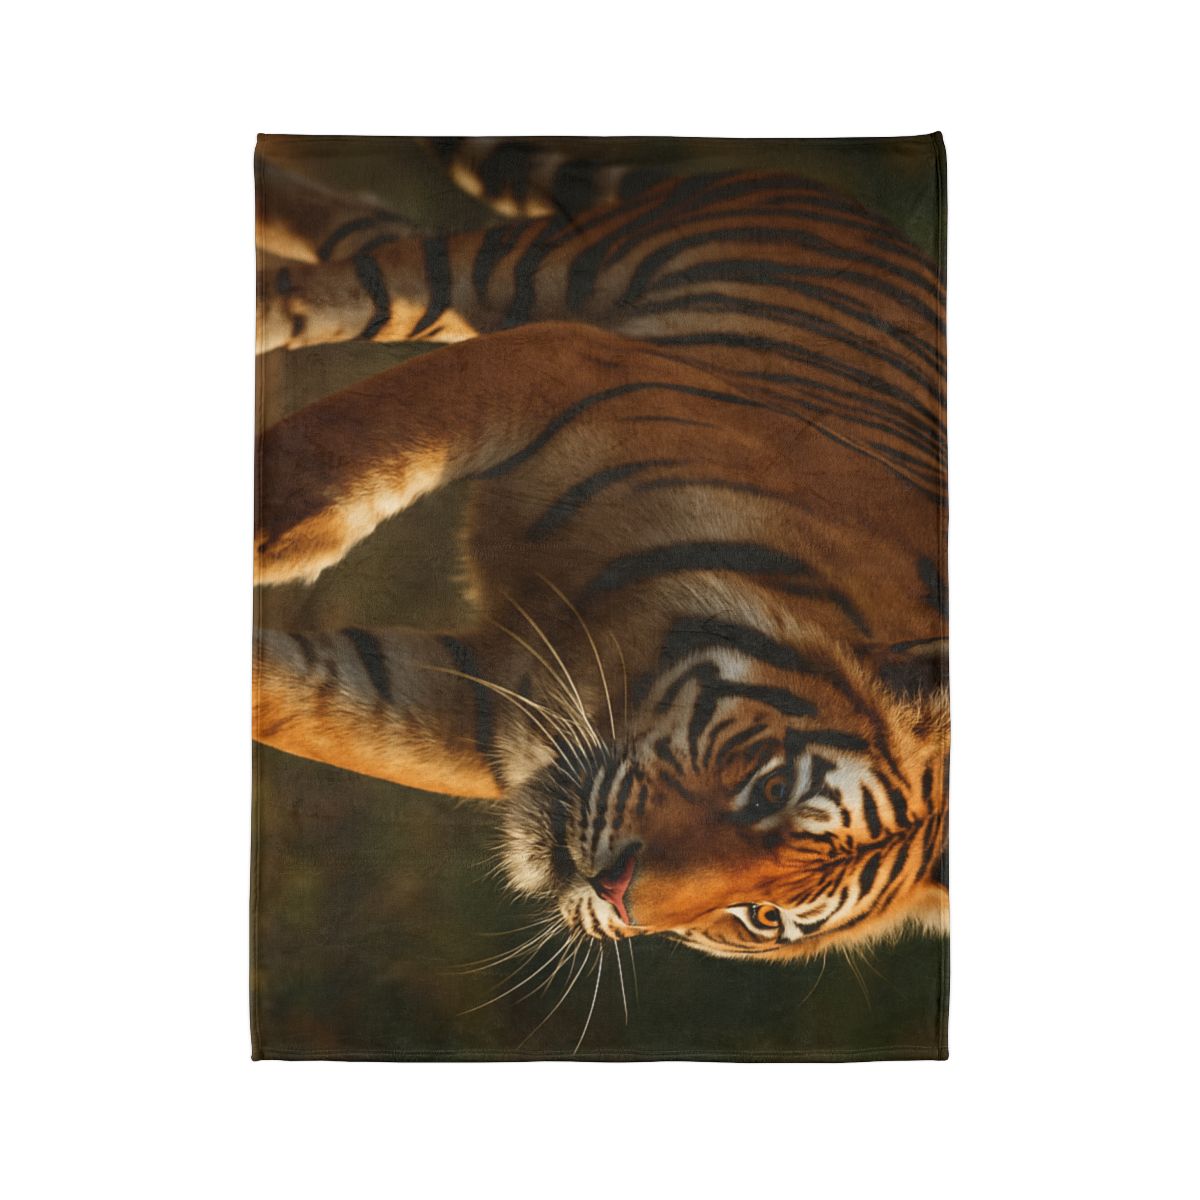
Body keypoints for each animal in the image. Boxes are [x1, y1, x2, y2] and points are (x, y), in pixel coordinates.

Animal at [253, 135, 948, 965]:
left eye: (763, 916)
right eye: (773, 791)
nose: (616, 893)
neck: (620, 653)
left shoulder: (486, 697)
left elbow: (297, 695)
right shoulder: (563, 357)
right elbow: (358, 438)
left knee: (358, 231)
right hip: (515, 270)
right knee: (334, 287)